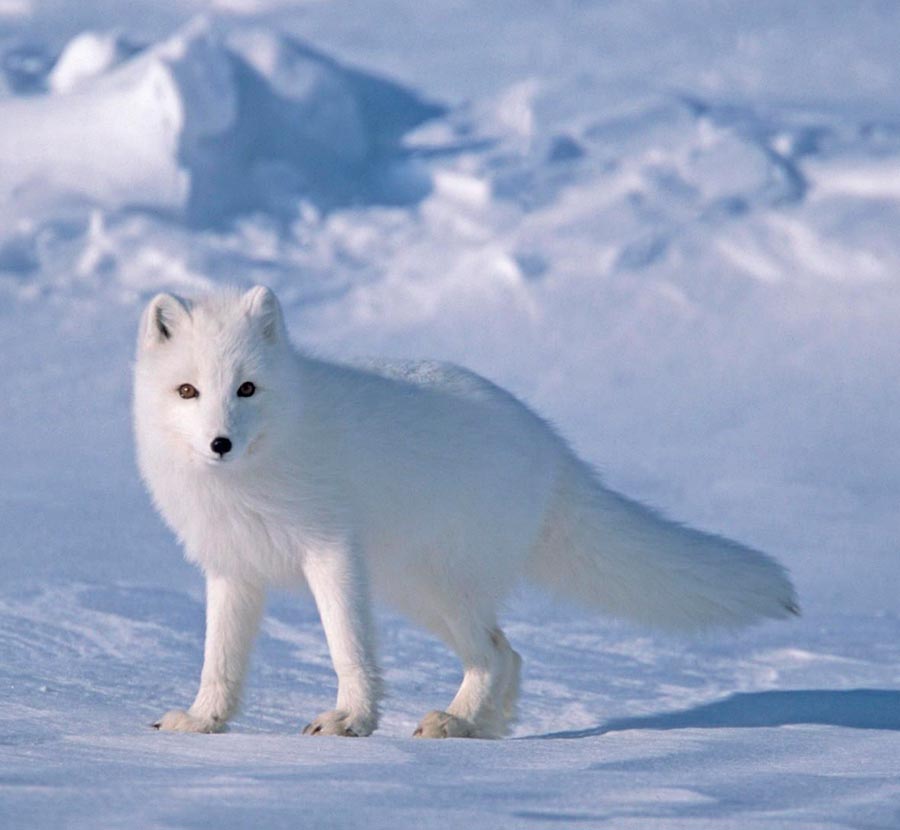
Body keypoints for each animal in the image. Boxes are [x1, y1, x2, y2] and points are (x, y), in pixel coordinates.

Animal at [134, 285, 798, 739]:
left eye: (247, 388)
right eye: (188, 391)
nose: (220, 443)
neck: (252, 475)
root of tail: (552, 447)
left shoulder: (331, 552)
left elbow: (348, 646)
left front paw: (350, 720)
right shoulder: (232, 568)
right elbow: (219, 660)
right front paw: (203, 721)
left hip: (439, 586)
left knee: (495, 652)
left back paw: (455, 722)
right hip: (416, 592)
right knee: (509, 652)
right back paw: (481, 727)